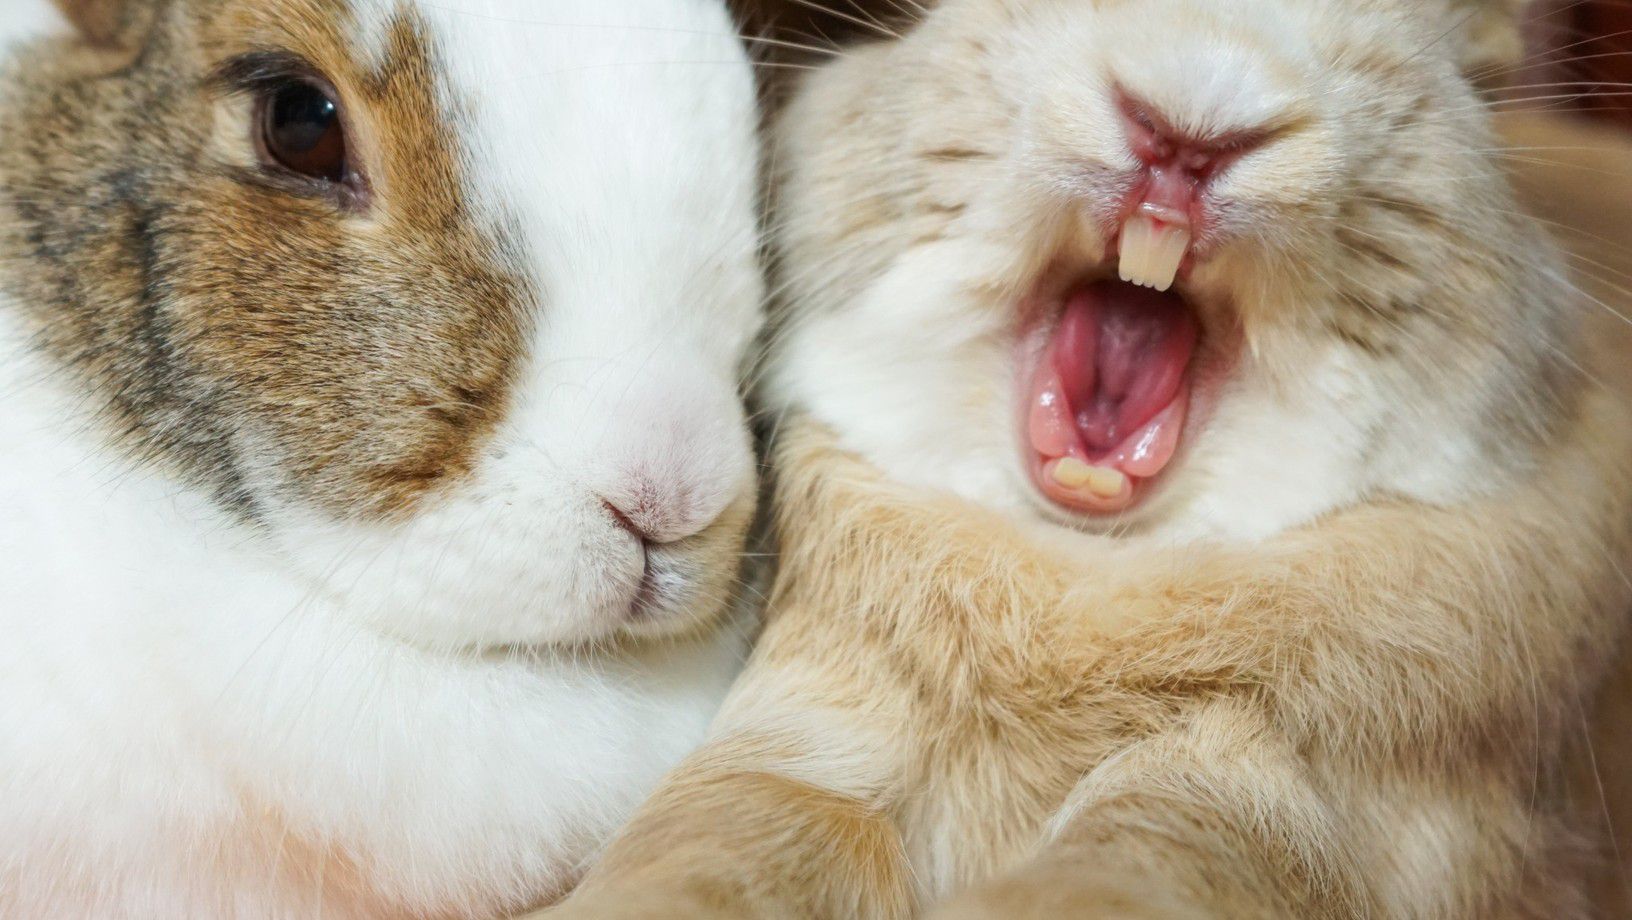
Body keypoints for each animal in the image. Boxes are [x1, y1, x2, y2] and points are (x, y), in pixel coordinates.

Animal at [534, 0, 1632, 918]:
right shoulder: (806, 736)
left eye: (1403, 58)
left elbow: (1132, 869)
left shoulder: (1271, 799)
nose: (1187, 132)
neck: (1079, 568)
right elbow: (735, 839)